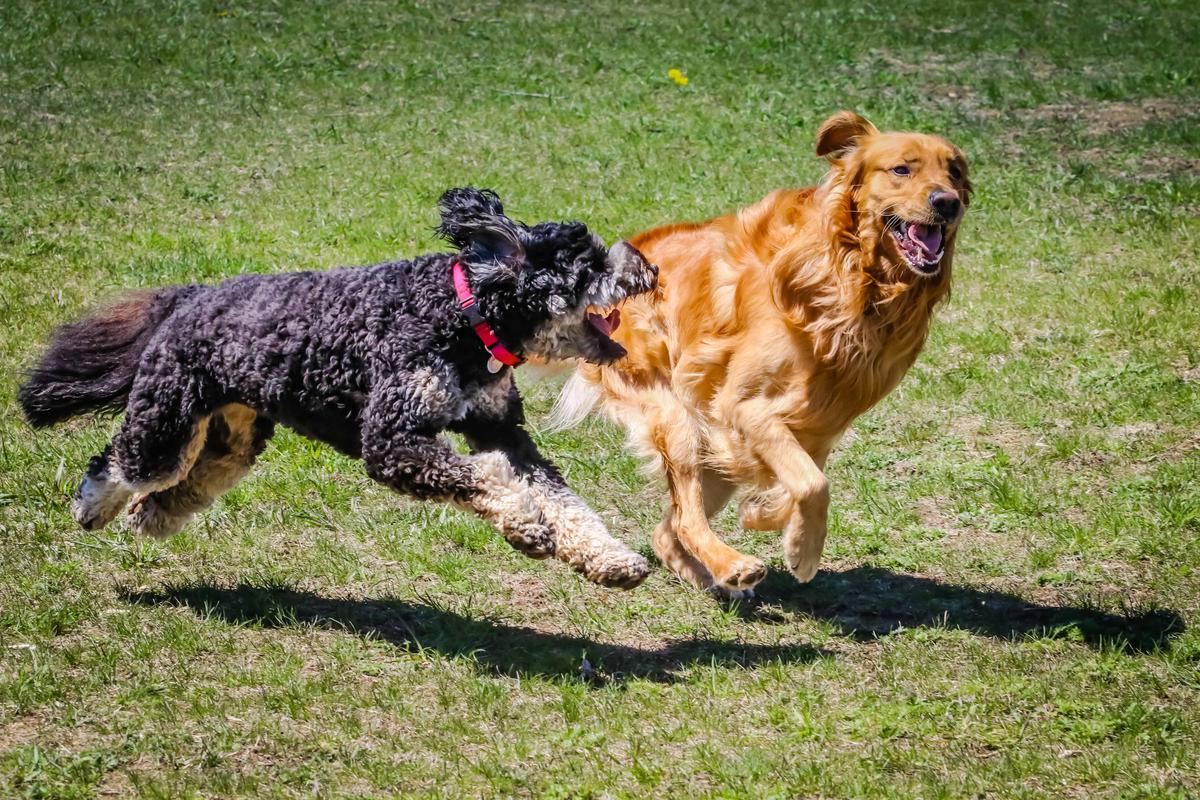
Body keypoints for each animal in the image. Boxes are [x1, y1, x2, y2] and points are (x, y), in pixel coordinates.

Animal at [16, 188, 657, 587]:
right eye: (591, 264)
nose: (647, 269)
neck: (462, 314)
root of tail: (190, 297)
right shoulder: (392, 438)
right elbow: (484, 476)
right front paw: (525, 524)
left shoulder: (500, 428)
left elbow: (563, 498)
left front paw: (611, 559)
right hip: (166, 420)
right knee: (119, 462)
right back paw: (93, 508)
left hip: (232, 438)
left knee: (185, 483)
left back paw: (152, 518)